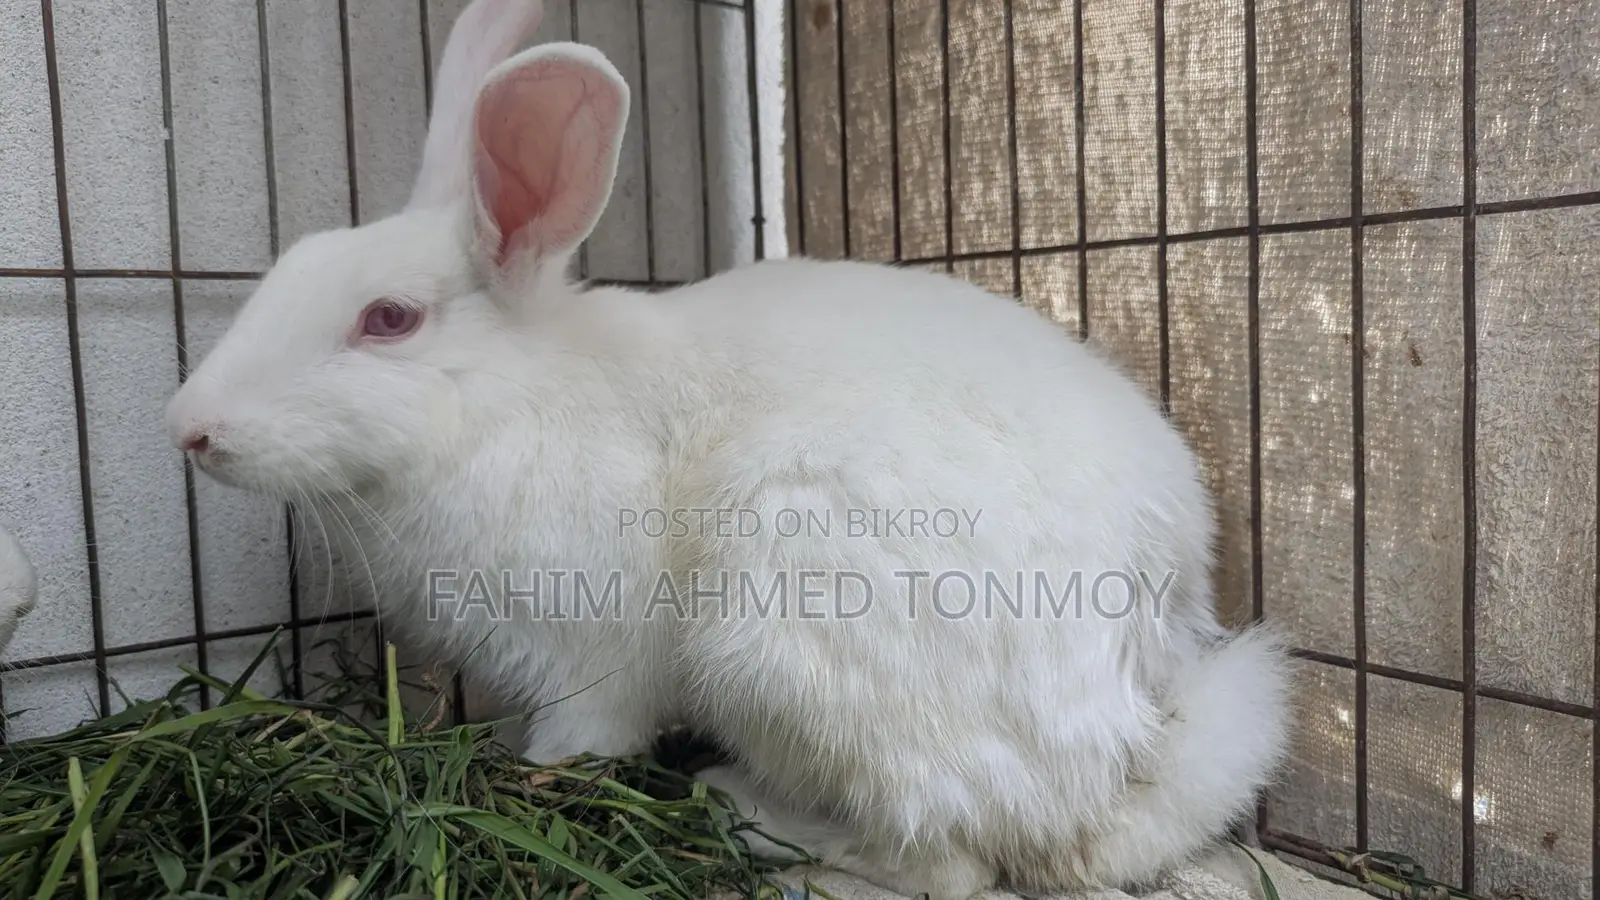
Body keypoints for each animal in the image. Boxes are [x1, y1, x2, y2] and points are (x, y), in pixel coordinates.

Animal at [162, 0, 1293, 897]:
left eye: (388, 320)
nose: (190, 429)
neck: (504, 398)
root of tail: (1137, 717)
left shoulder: (585, 644)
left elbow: (589, 731)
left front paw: (536, 771)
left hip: (790, 624)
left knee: (948, 860)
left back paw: (750, 811)